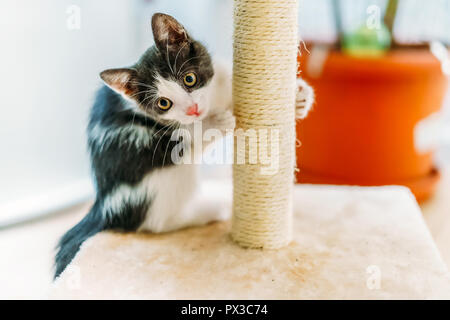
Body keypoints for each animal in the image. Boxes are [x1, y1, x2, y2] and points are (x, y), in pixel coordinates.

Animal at [53, 12, 312, 278]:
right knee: (159, 221)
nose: (192, 109)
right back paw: (211, 209)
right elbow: (190, 137)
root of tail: (104, 206)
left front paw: (298, 99)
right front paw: (215, 123)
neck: (213, 102)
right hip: (158, 175)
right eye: (163, 103)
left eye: (189, 79)